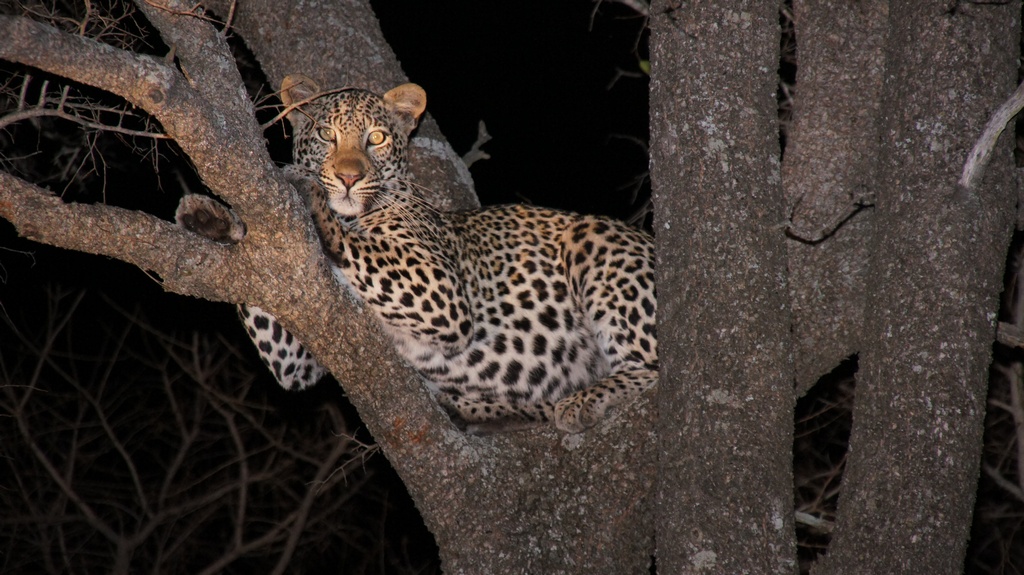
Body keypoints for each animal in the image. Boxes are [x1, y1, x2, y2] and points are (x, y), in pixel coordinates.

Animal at [178, 74, 658, 433]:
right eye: (327, 135)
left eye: (376, 138)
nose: (348, 178)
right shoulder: (298, 355)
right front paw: (211, 219)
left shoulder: (442, 295)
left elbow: (355, 243)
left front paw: (308, 192)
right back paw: (485, 410)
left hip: (595, 237)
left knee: (655, 368)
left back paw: (579, 401)